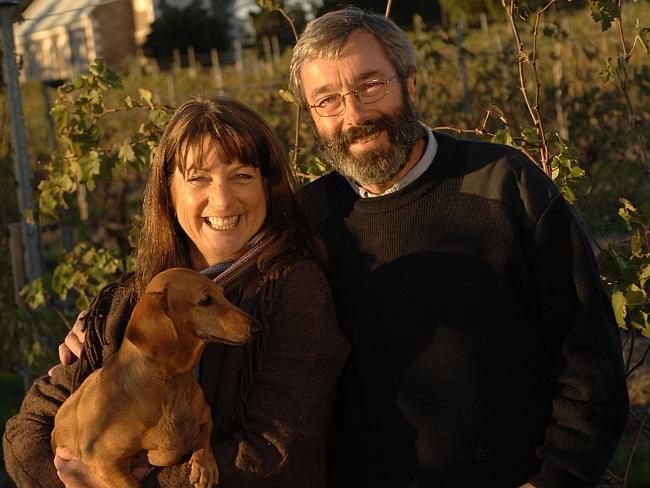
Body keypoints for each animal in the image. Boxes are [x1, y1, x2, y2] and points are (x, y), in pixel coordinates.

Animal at [51, 268, 253, 488]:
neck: (171, 385)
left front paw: (204, 465)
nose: (256, 326)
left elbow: (202, 437)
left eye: (222, 293)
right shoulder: (105, 461)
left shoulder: (205, 417)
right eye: (206, 300)